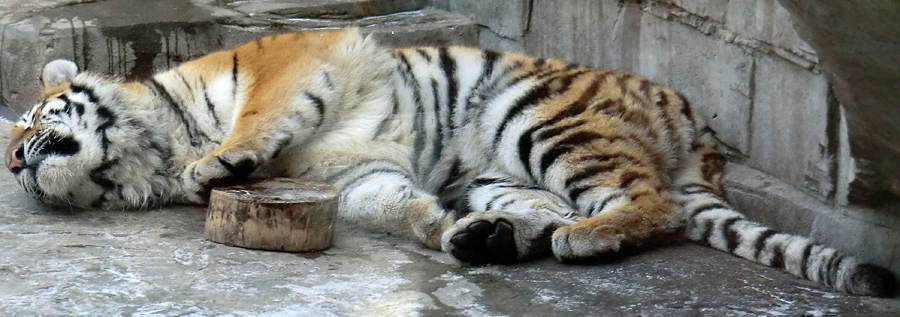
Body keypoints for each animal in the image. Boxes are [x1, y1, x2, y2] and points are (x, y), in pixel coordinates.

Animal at [3, 28, 896, 296]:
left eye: (33, 120)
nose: (14, 163)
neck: (155, 142)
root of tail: (703, 145)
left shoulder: (294, 55)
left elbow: (259, 113)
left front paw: (218, 164)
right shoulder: (354, 178)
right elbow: (402, 206)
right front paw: (442, 230)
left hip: (538, 118)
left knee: (650, 204)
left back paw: (585, 239)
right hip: (498, 166)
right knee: (559, 207)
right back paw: (495, 235)